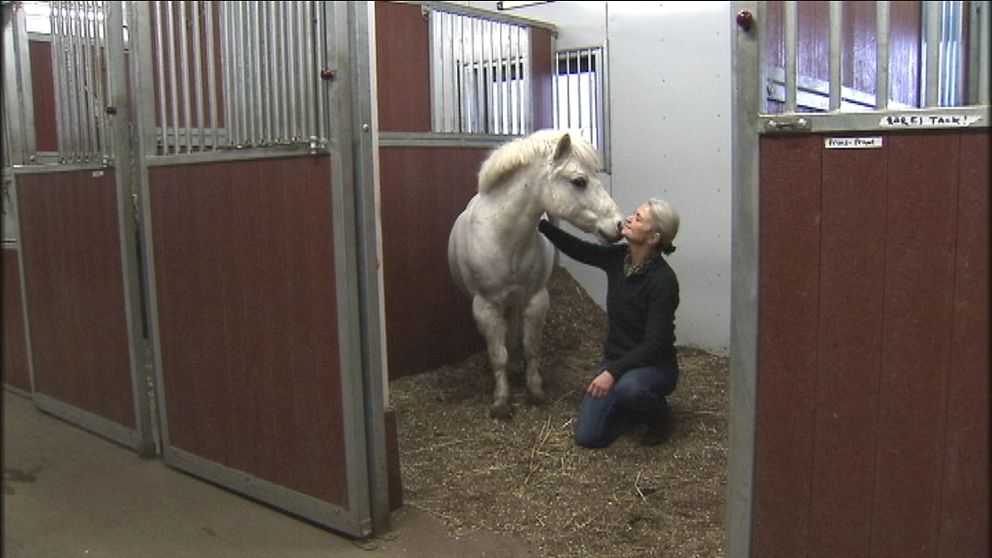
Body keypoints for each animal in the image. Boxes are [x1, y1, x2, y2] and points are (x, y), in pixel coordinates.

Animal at [448, 130, 624, 420]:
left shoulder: (536, 300)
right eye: (579, 181)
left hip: (518, 302)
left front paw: (535, 391)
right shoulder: (486, 306)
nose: (619, 225)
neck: (505, 238)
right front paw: (502, 402)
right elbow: (498, 355)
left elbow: (531, 348)